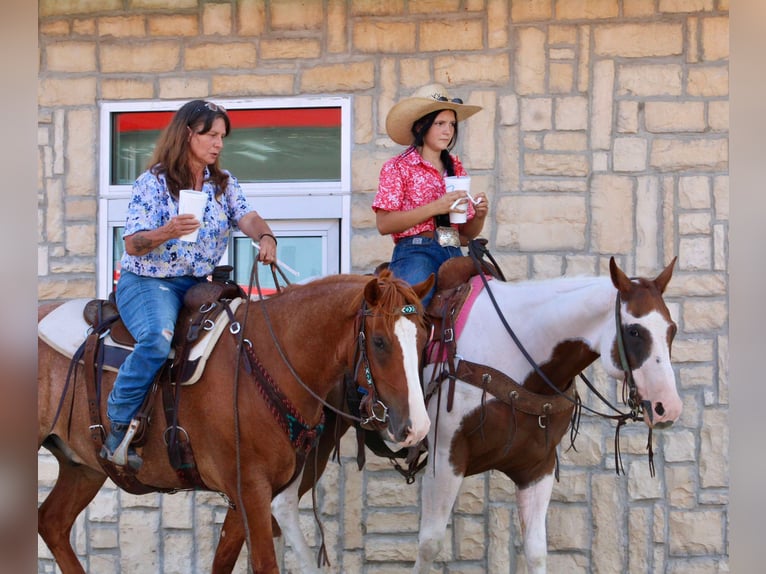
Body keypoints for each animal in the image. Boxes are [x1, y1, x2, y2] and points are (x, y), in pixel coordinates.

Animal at [37, 270, 433, 574]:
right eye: (379, 342)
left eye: (423, 338)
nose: (417, 427)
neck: (271, 361)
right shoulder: (250, 489)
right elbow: (264, 564)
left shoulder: (247, 494)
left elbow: (223, 560)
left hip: (83, 466)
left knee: (52, 523)